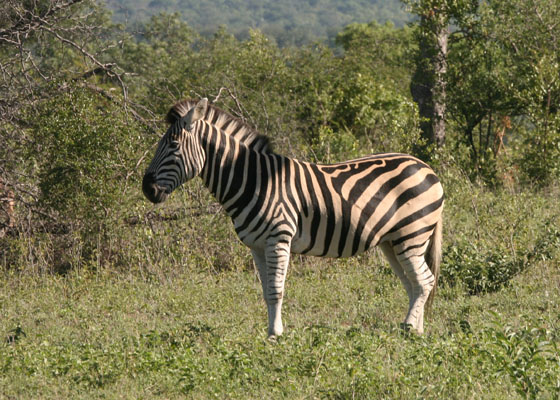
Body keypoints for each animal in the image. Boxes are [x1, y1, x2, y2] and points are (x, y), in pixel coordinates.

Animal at [142, 97, 444, 338]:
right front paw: (269, 332)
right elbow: (265, 291)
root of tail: (426, 167)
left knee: (424, 280)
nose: (147, 189)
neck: (255, 181)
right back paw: (416, 329)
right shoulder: (256, 246)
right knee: (414, 283)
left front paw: (276, 334)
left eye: (173, 145)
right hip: (392, 241)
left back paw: (409, 329)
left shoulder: (278, 238)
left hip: (412, 235)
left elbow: (276, 290)